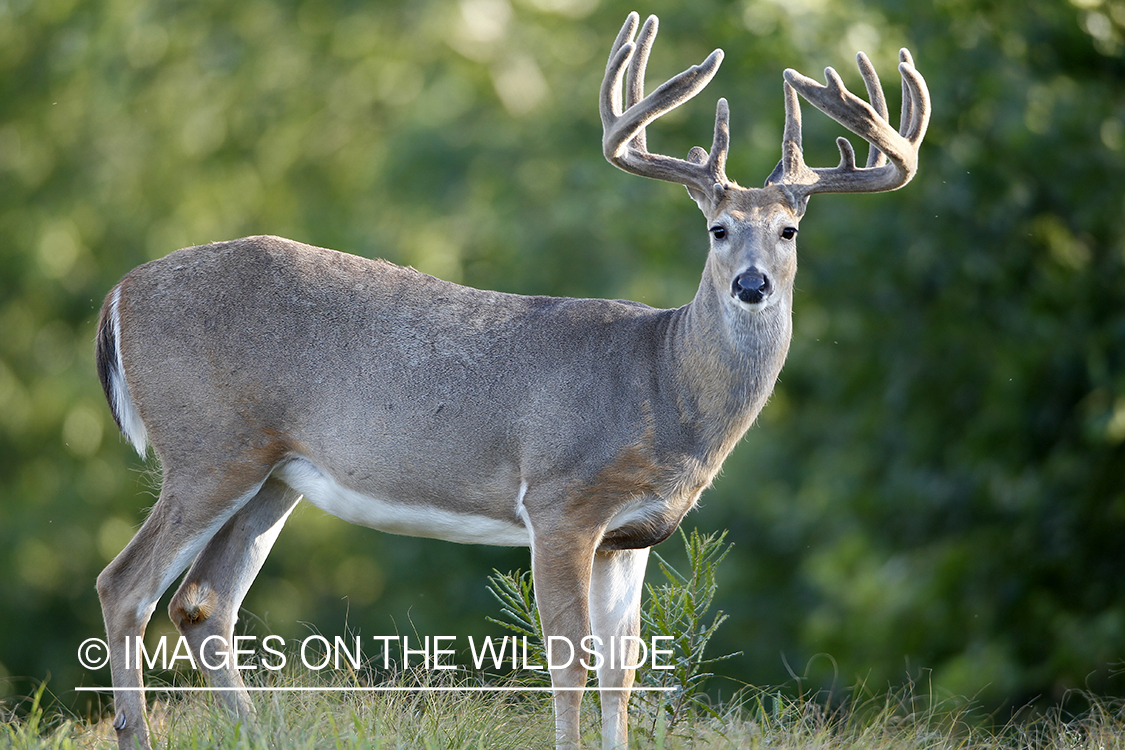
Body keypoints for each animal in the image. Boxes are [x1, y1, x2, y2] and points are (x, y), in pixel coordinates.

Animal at [92, 11, 927, 750]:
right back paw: (137, 733)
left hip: (275, 472)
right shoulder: (560, 499)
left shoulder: (630, 535)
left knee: (203, 602)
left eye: (789, 230)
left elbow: (623, 669)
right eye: (716, 230)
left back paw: (256, 733)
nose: (752, 284)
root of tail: (119, 294)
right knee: (125, 584)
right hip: (208, 445)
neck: (661, 384)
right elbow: (568, 657)